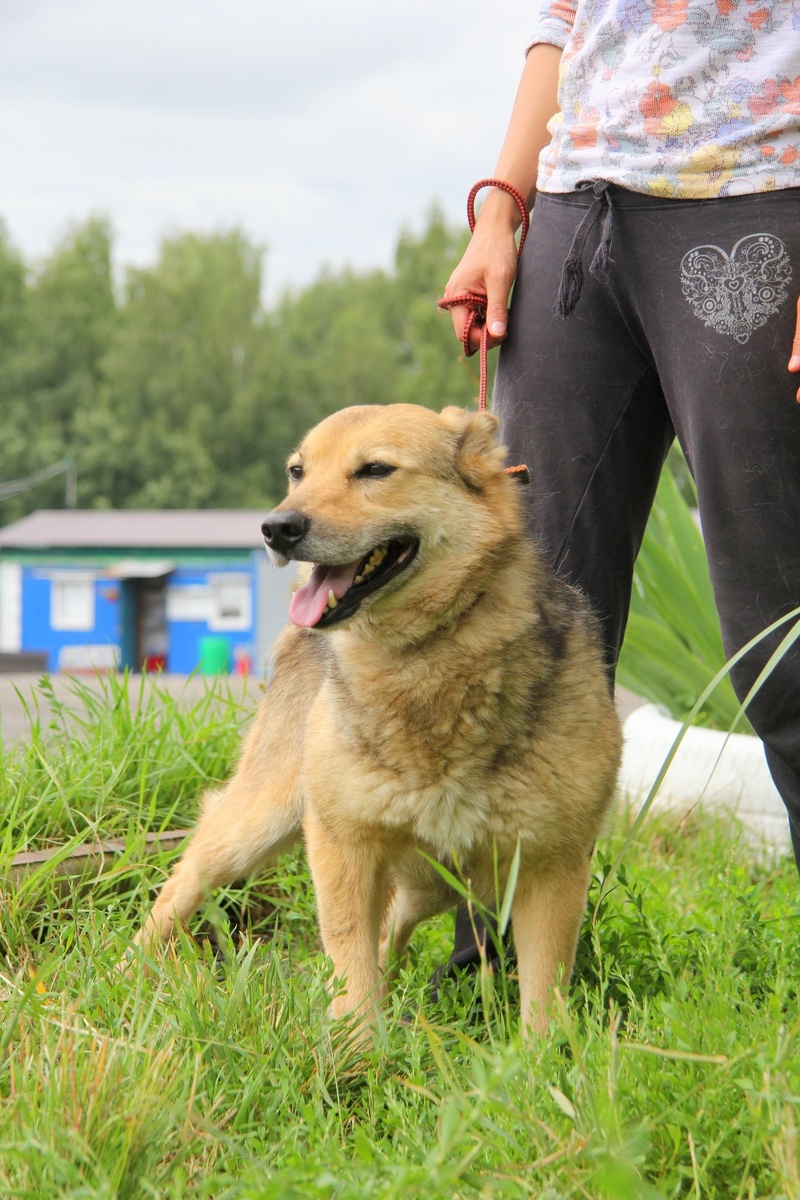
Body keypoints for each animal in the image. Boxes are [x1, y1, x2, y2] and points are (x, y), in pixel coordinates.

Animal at [131, 403, 623, 1032]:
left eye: (376, 470)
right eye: (297, 471)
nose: (276, 528)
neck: (429, 654)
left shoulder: (551, 866)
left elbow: (543, 1001)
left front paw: (544, 1058)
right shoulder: (343, 844)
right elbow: (351, 968)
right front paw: (357, 1046)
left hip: (429, 885)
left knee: (391, 936)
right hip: (254, 828)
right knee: (178, 890)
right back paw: (120, 975)